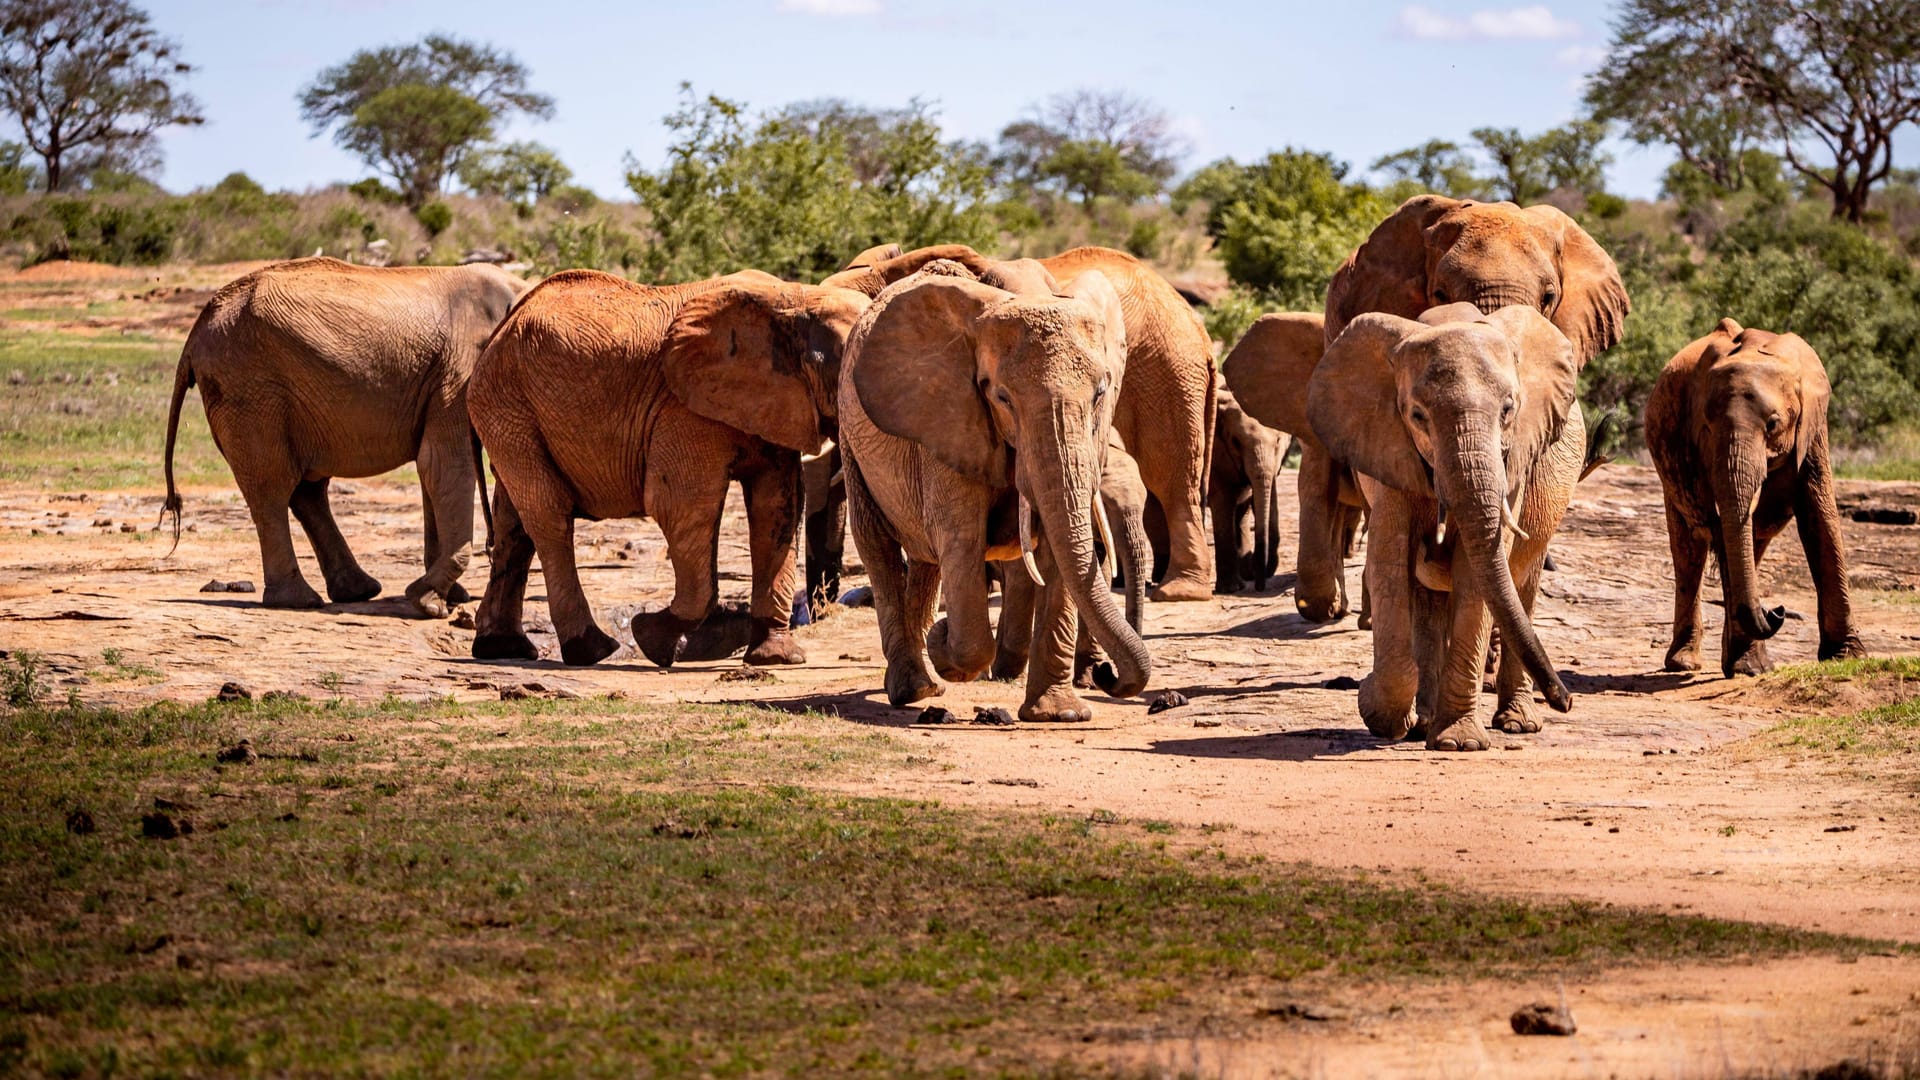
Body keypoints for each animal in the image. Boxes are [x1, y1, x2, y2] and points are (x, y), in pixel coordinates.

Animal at [160, 255, 526, 614]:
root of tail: (196, 331)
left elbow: (431, 473)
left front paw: (448, 597)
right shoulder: (456, 372)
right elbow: (442, 464)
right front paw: (429, 602)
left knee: (307, 489)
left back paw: (357, 591)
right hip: (248, 386)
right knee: (272, 487)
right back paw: (299, 600)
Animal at [1643, 315, 1866, 676]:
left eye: (1773, 424)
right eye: (1706, 425)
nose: (1777, 611)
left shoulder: (1813, 426)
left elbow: (1819, 515)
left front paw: (1848, 656)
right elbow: (1722, 529)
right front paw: (1751, 667)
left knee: (1753, 538)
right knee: (1690, 548)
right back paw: (1684, 662)